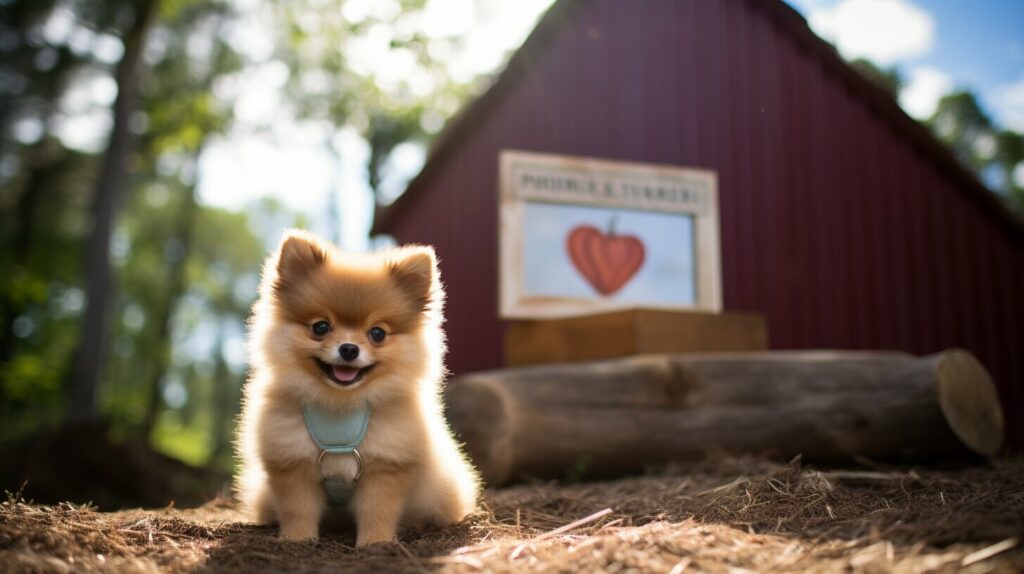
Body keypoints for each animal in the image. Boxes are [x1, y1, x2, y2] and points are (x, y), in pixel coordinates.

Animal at [235, 229, 479, 544]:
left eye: (377, 333)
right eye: (320, 327)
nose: (349, 349)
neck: (341, 404)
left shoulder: (386, 465)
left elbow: (377, 510)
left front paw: (376, 543)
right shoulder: (292, 462)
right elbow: (297, 509)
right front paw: (297, 540)